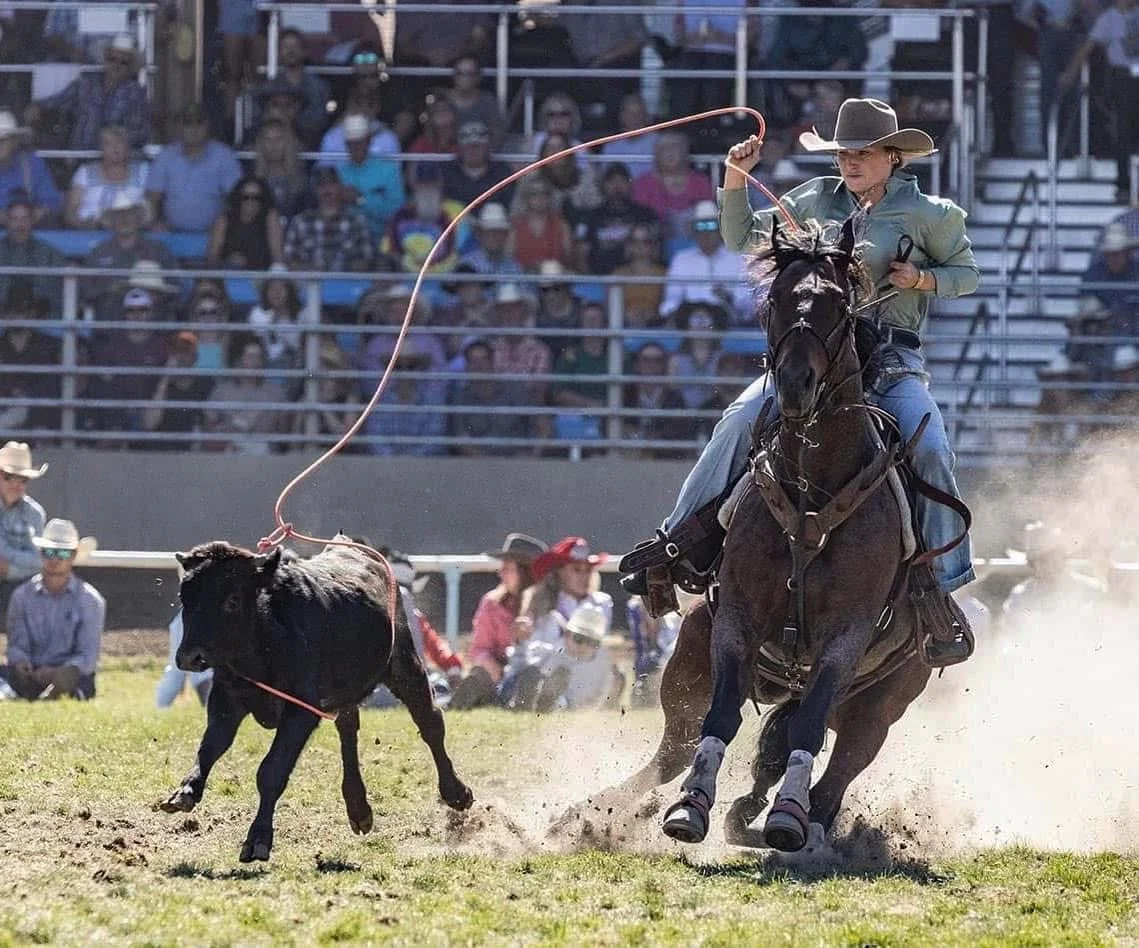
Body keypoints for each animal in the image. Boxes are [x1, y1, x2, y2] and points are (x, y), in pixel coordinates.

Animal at [159, 539, 474, 862]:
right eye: (185, 598)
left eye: (232, 600)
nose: (189, 657)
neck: (266, 635)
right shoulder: (226, 700)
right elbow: (211, 747)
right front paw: (185, 792)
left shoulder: (301, 711)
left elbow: (271, 770)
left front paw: (258, 839)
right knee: (348, 730)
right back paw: (358, 808)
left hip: (404, 664)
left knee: (430, 722)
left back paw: (456, 793)